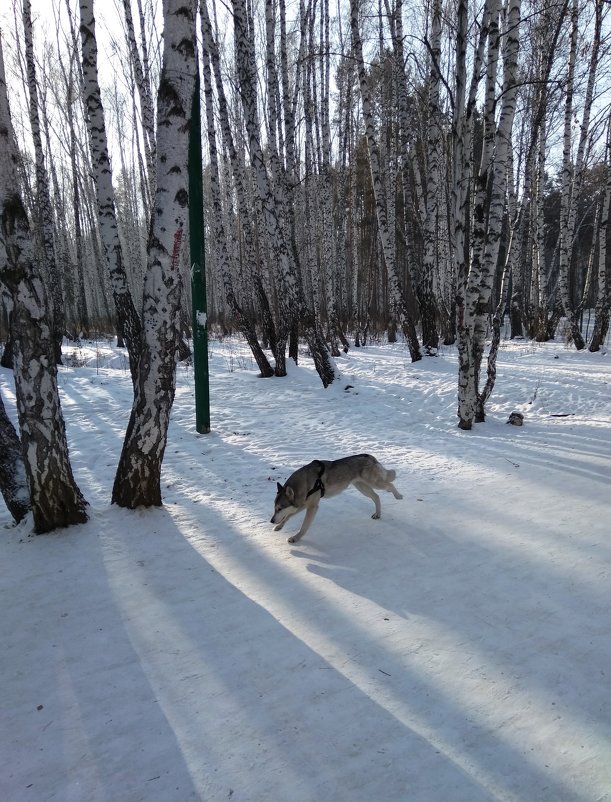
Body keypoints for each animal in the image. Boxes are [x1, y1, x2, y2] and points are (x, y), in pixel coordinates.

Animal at [272, 454, 404, 540]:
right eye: (275, 508)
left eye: (279, 508)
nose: (271, 520)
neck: (305, 482)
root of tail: (370, 457)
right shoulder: (302, 504)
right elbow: (288, 516)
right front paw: (279, 526)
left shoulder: (312, 507)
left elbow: (304, 526)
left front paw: (296, 537)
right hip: (362, 487)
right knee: (376, 497)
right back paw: (377, 514)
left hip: (374, 483)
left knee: (390, 485)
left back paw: (398, 496)